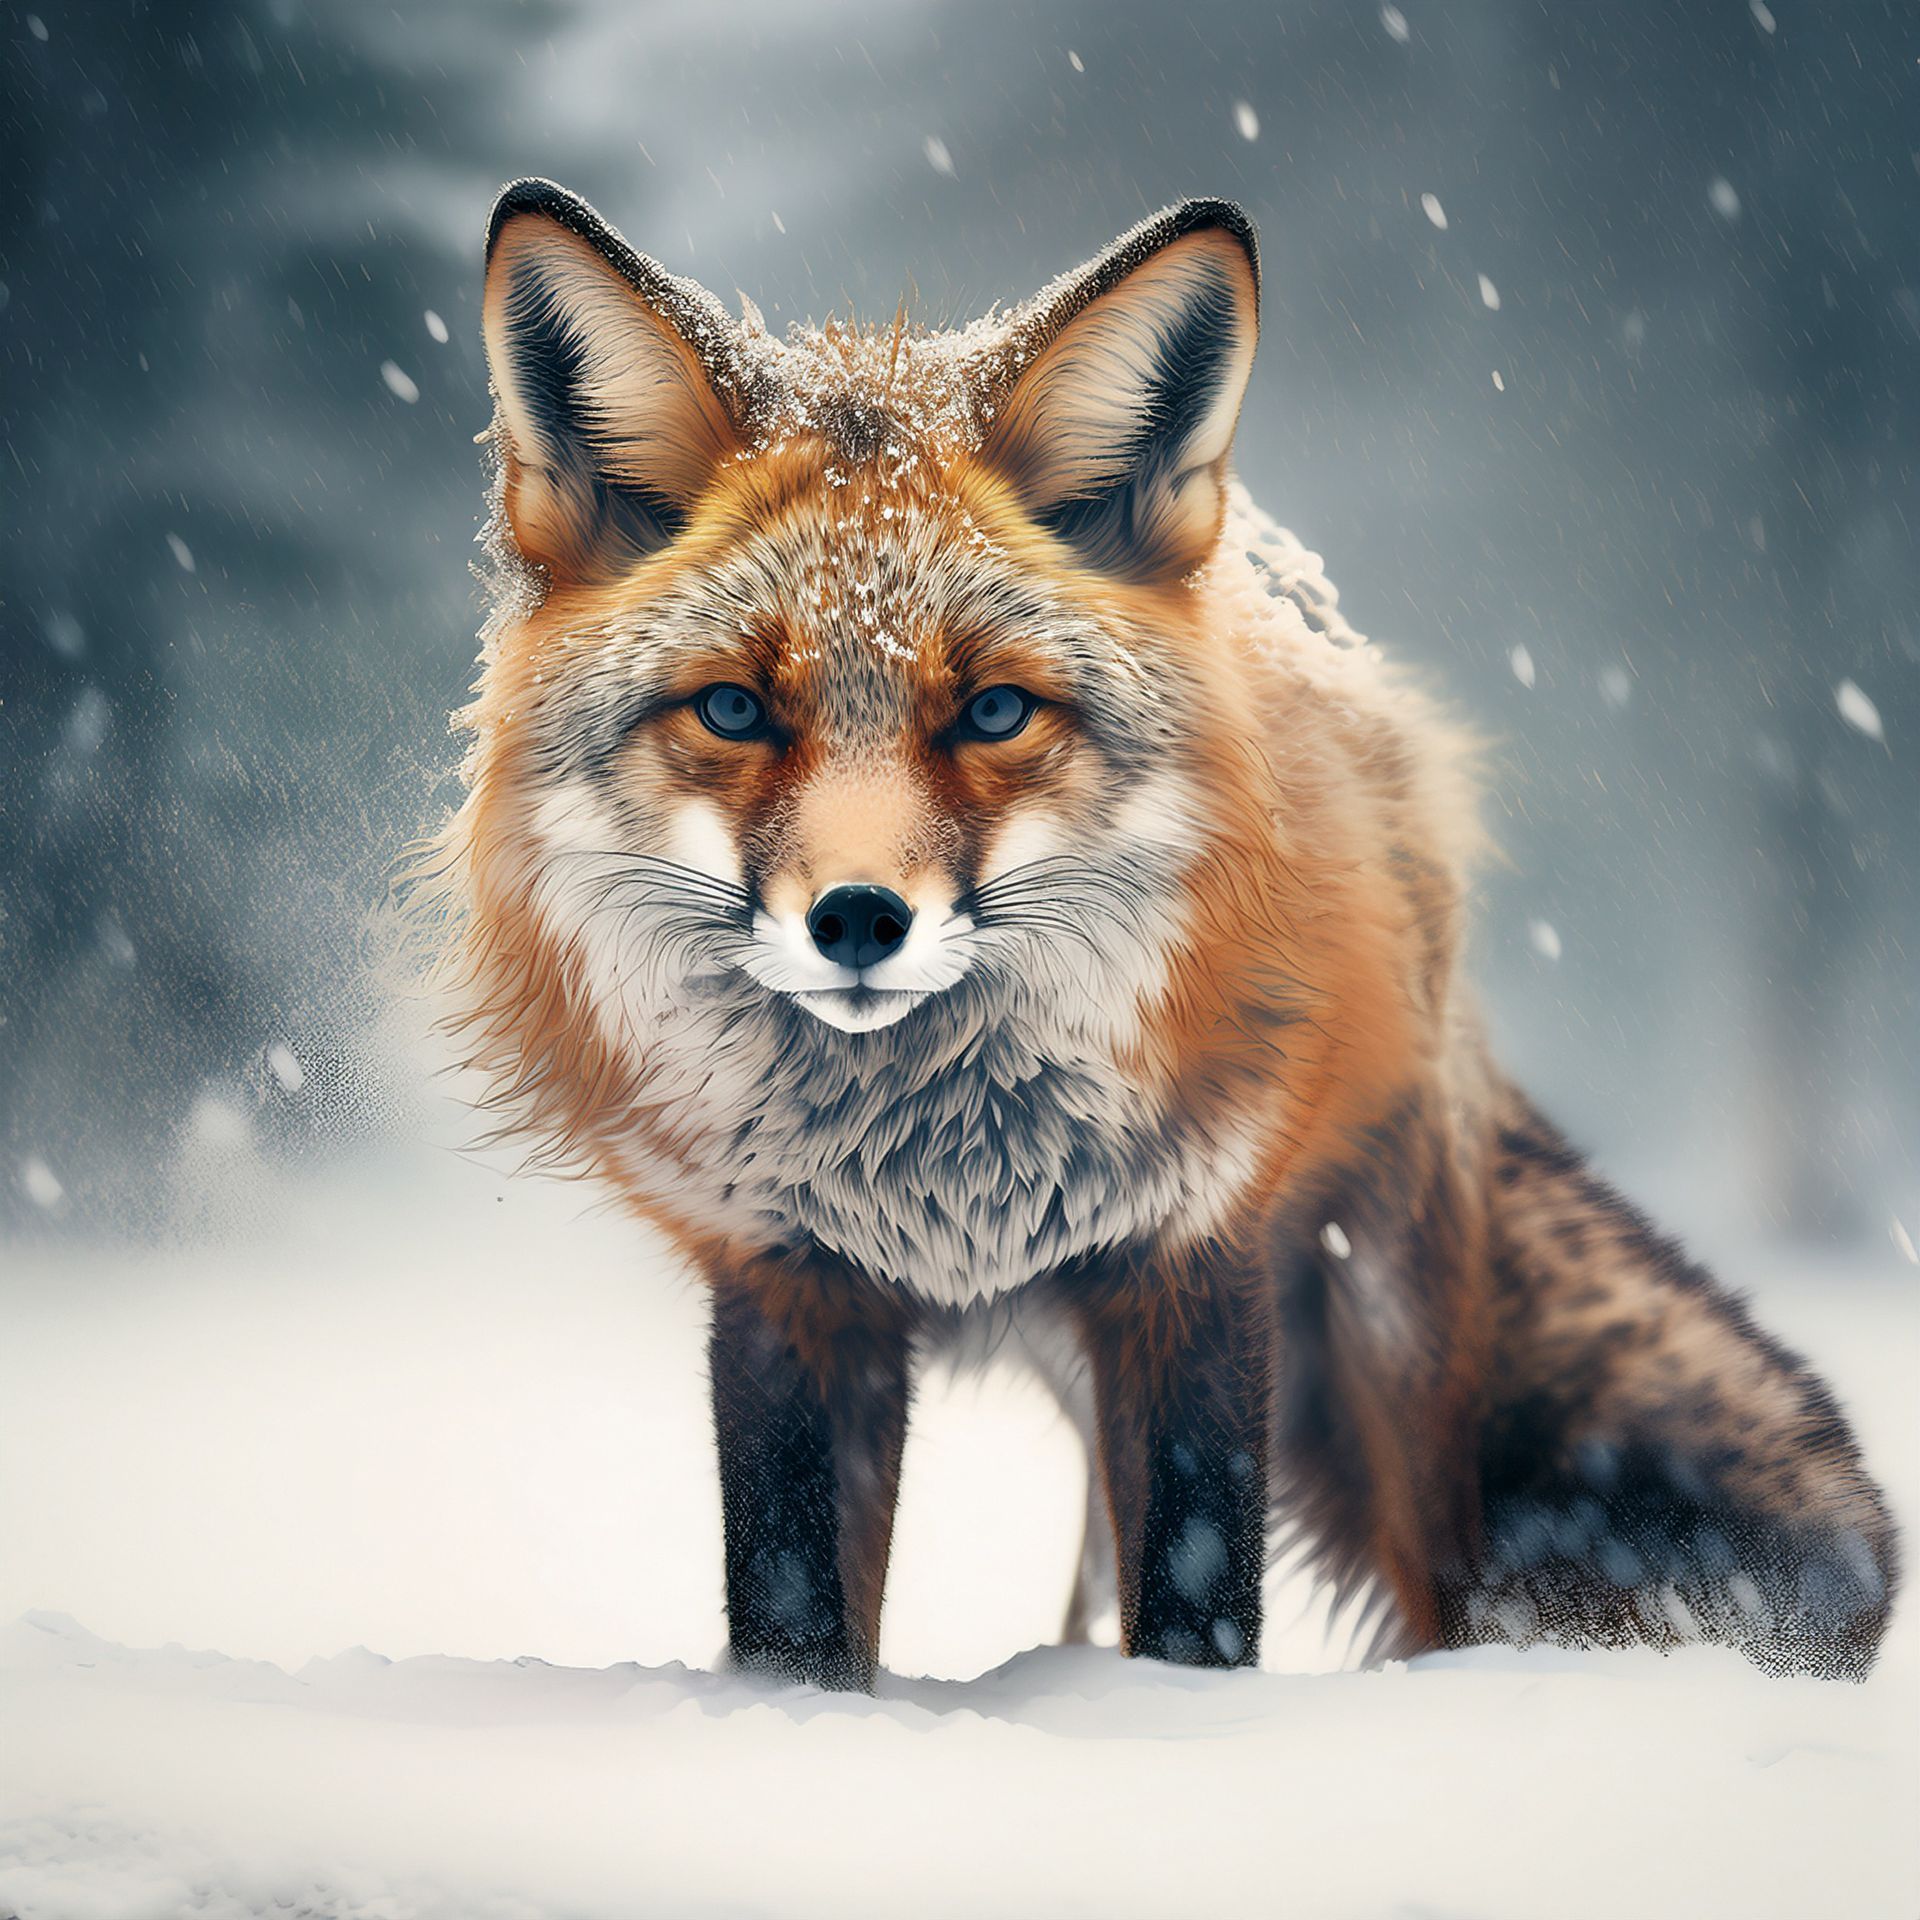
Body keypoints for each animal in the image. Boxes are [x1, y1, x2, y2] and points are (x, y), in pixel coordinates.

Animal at [425, 177, 1897, 1691]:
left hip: (1384, 1323)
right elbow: (796, 1620)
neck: (926, 1169)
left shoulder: (1190, 1257)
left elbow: (1195, 1603)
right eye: (732, 710)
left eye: (994, 713)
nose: (858, 919)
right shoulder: (787, 1285)